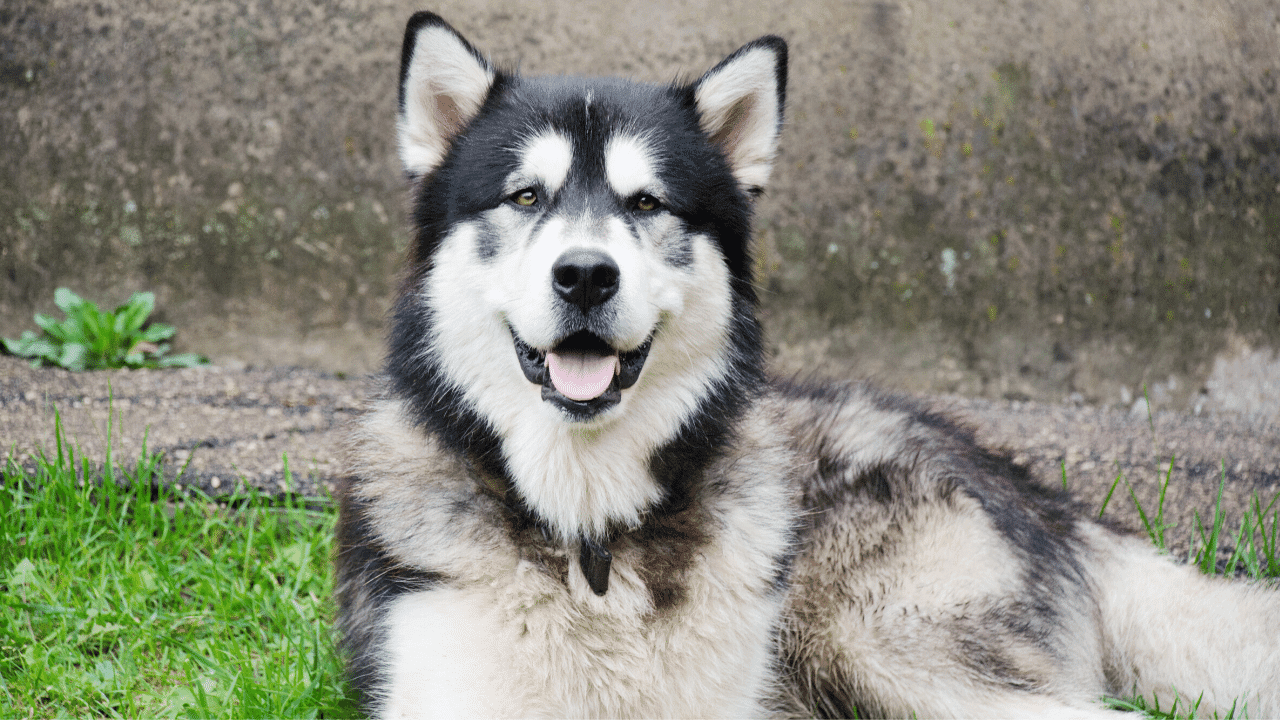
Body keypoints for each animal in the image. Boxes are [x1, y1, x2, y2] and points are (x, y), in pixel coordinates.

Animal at [337, 12, 1280, 717]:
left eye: (646, 203)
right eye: (526, 196)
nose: (586, 275)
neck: (590, 532)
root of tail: (1036, 490)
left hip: (887, 649)